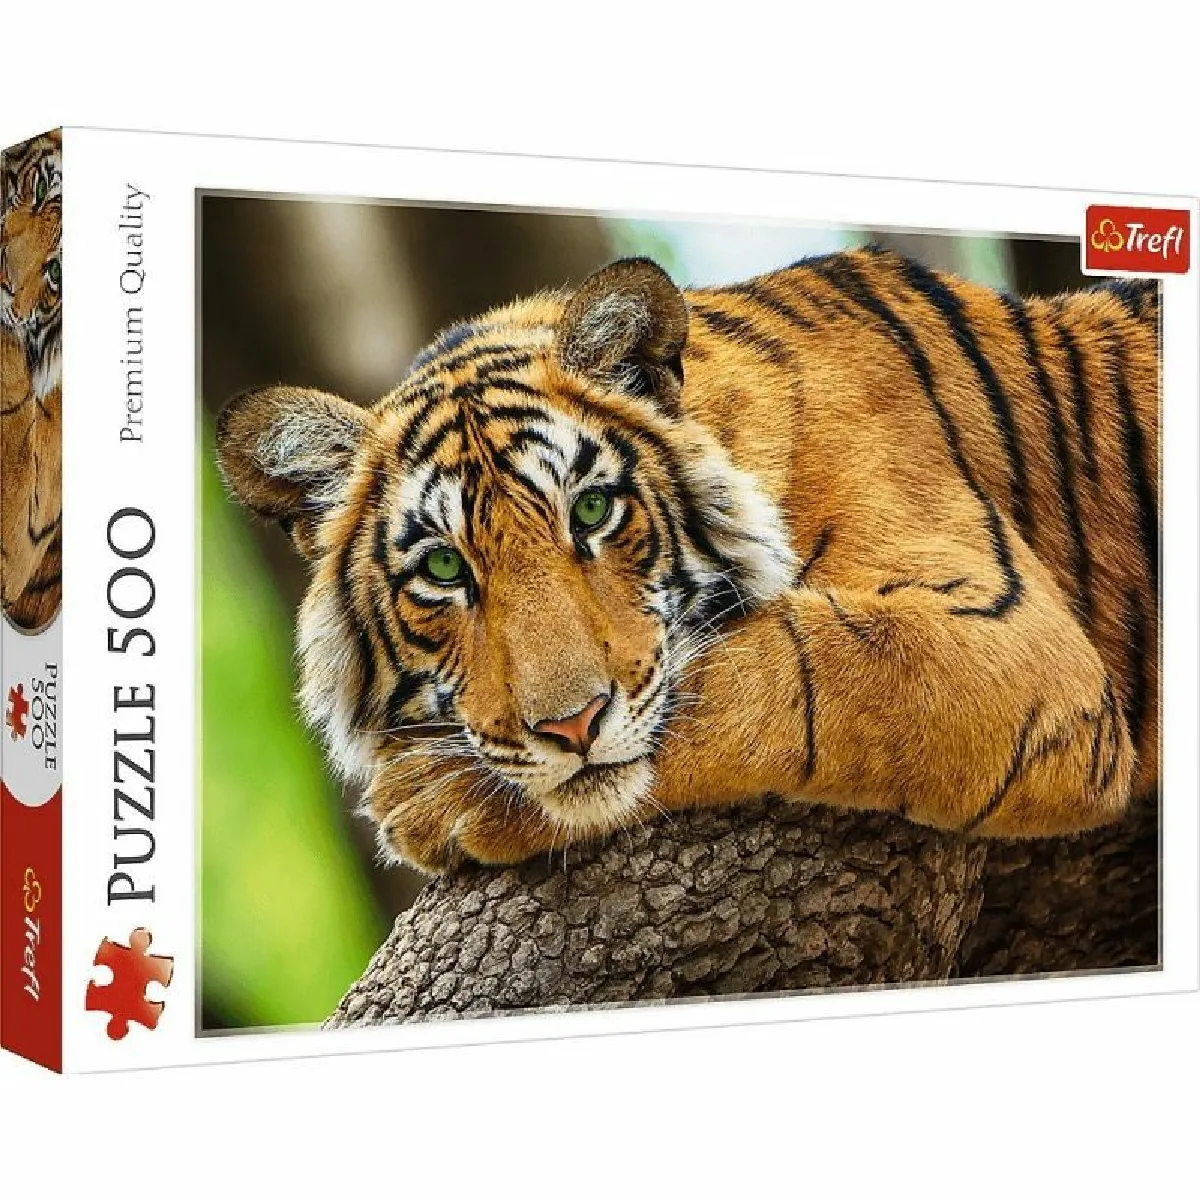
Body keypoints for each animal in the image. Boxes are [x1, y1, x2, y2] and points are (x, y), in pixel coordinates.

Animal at [216, 247, 1159, 875]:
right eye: (445, 571)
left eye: (592, 511)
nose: (570, 728)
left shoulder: (1015, 644)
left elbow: (782, 669)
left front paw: (430, 798)